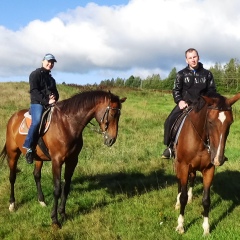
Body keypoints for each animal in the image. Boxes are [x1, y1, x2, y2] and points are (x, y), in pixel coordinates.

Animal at [0, 90, 126, 229]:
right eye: (113, 114)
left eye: (119, 115)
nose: (111, 140)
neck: (67, 125)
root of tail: (13, 118)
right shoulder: (57, 161)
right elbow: (57, 189)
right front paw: (55, 220)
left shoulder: (72, 160)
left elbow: (66, 187)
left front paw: (63, 214)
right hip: (13, 153)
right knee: (12, 177)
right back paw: (12, 204)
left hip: (38, 158)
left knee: (36, 175)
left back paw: (41, 201)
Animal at [173, 93, 240, 235]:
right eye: (210, 122)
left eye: (230, 123)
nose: (218, 159)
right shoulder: (183, 166)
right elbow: (183, 197)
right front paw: (181, 225)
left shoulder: (209, 169)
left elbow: (206, 200)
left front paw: (206, 228)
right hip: (178, 164)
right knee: (179, 183)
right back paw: (177, 202)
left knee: (192, 178)